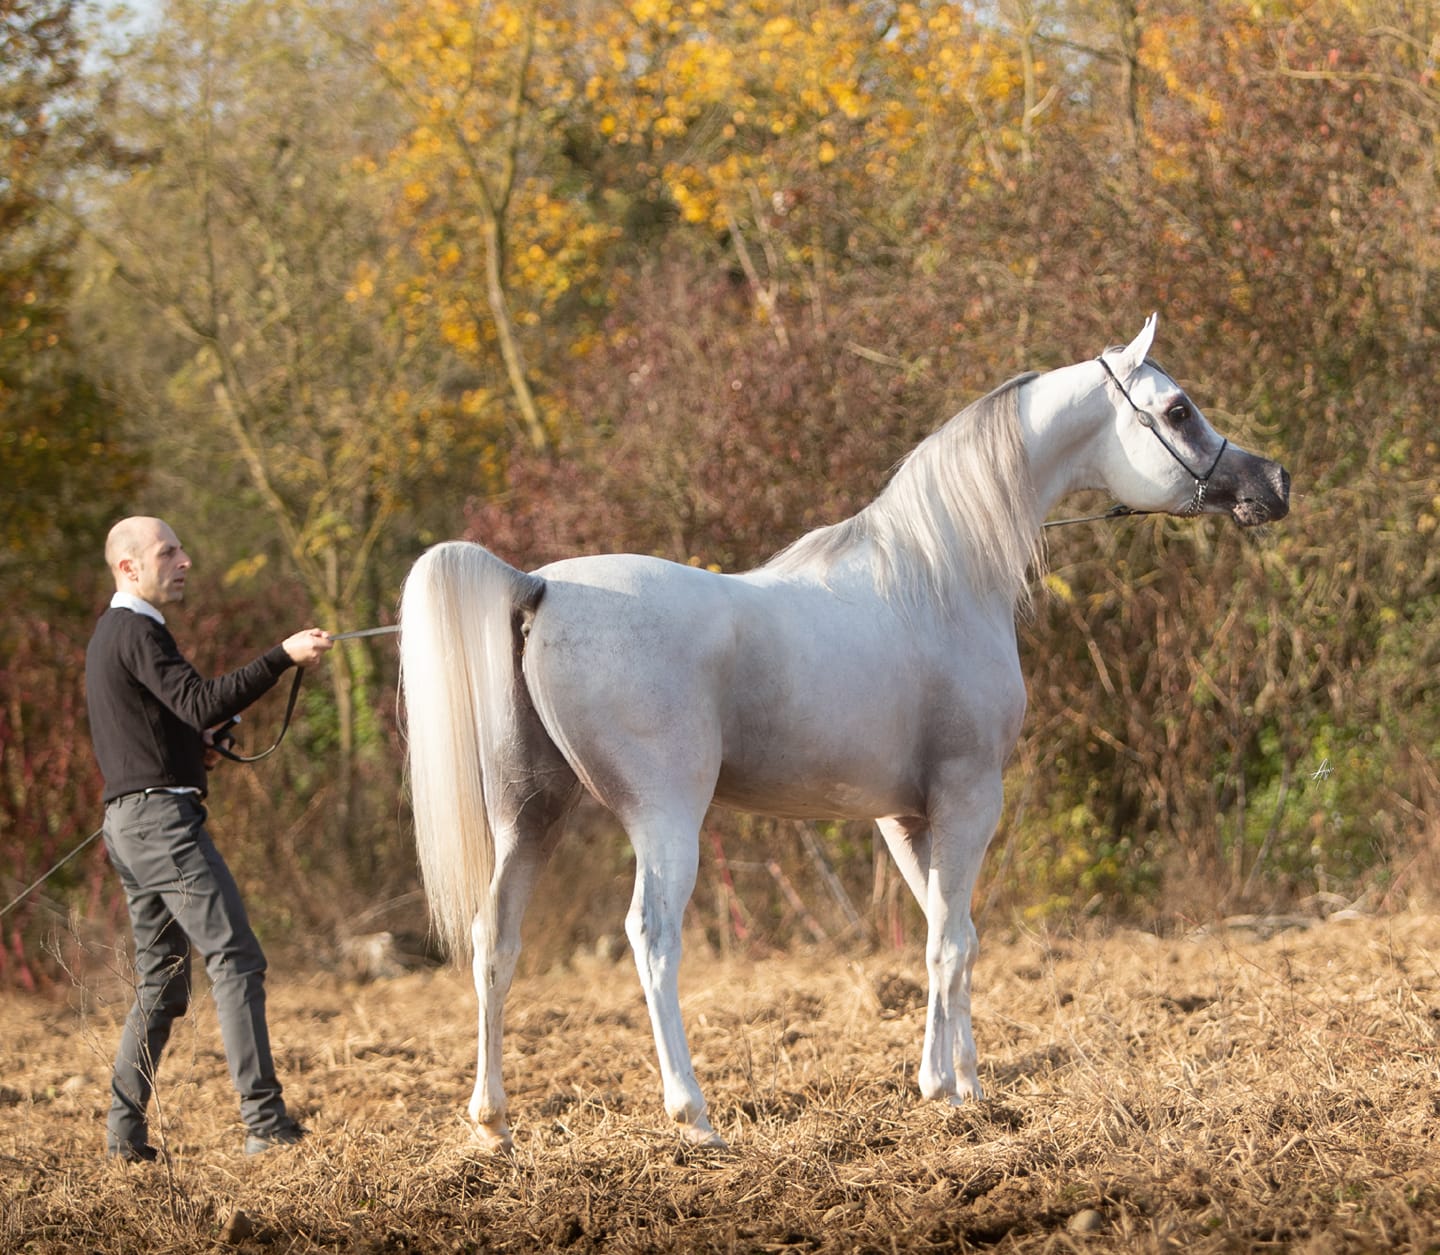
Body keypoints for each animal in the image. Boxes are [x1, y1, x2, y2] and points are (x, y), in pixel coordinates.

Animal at [397, 314, 1290, 1150]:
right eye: (1178, 410)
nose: (1273, 482)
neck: (939, 578)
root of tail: (539, 587)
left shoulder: (905, 817)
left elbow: (952, 932)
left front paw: (965, 1083)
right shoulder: (970, 799)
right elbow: (947, 945)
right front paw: (943, 1089)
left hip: (531, 815)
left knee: (494, 940)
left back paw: (493, 1122)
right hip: (663, 820)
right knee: (651, 939)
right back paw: (694, 1115)